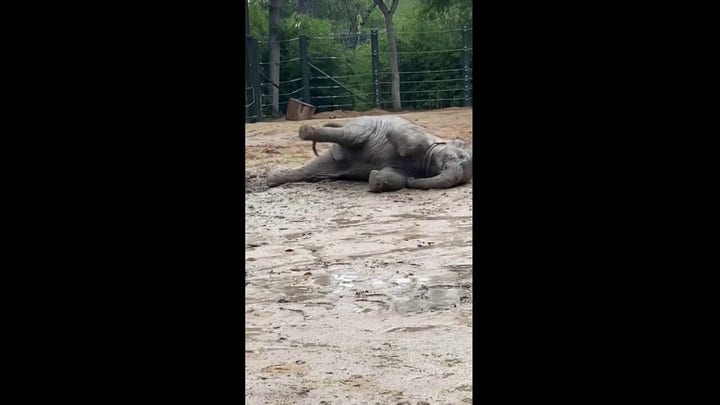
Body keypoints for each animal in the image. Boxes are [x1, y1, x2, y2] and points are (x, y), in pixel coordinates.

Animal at [266, 116, 472, 192]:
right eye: (461, 156)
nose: (414, 181)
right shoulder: (419, 134)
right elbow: (403, 135)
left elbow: (394, 177)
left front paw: (374, 176)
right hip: (362, 127)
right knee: (351, 136)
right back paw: (305, 131)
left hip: (332, 163)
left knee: (313, 171)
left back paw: (272, 180)